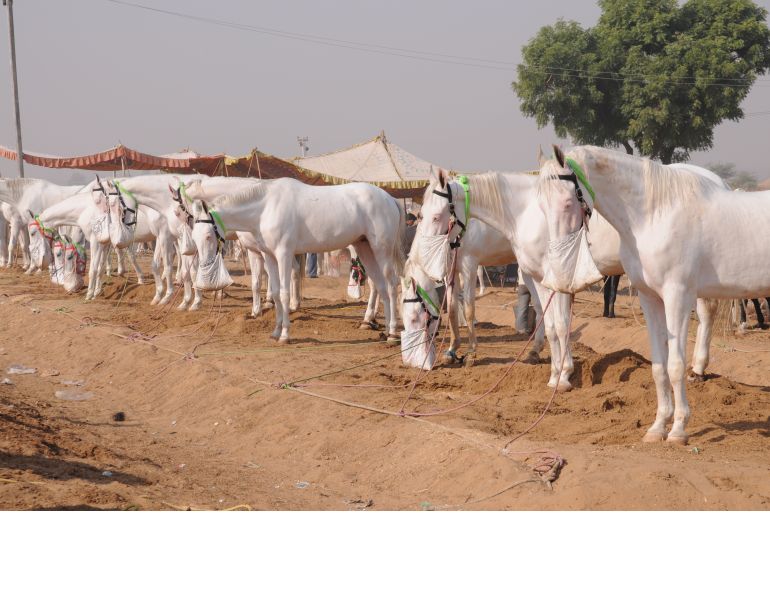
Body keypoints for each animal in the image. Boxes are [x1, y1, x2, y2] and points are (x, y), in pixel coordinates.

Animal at [181, 176, 404, 343]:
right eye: (196, 236)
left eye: (208, 236)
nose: (205, 266)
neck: (266, 207)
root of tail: (390, 199)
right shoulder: (269, 256)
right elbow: (275, 293)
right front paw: (275, 331)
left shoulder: (284, 254)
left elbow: (284, 293)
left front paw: (285, 335)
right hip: (364, 247)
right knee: (380, 286)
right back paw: (381, 328)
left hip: (381, 249)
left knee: (391, 285)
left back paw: (393, 333)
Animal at [536, 144, 770, 444]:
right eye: (541, 206)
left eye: (568, 202)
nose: (556, 263)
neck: (653, 216)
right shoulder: (650, 299)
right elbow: (659, 367)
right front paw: (658, 427)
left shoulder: (677, 298)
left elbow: (675, 366)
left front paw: (679, 430)